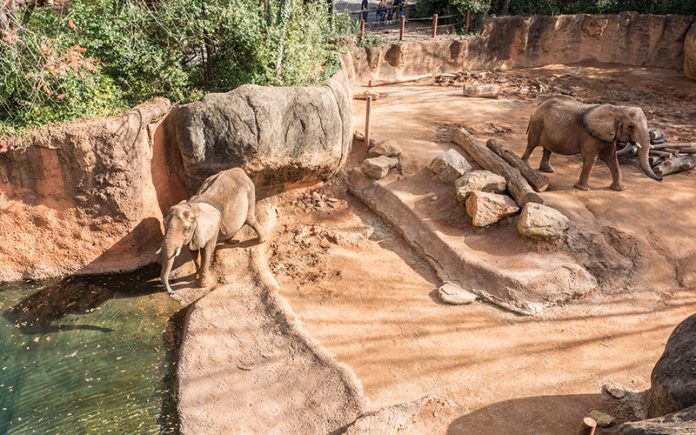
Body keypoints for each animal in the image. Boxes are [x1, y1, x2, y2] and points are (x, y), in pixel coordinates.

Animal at [522, 96, 662, 191]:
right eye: (631, 126)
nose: (660, 178)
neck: (618, 109)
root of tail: (538, 105)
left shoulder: (608, 136)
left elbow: (611, 158)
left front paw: (619, 189)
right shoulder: (590, 135)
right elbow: (591, 158)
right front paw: (582, 189)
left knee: (547, 148)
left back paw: (548, 170)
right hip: (537, 123)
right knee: (531, 145)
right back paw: (525, 165)